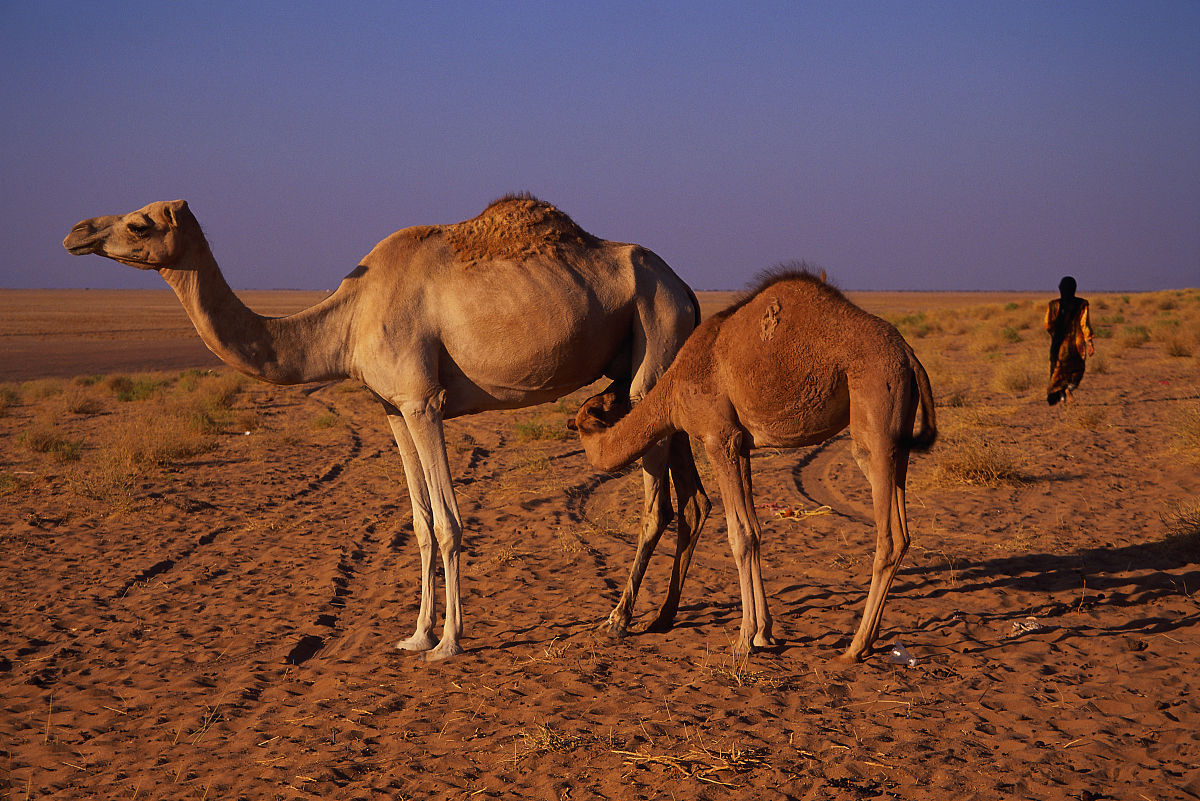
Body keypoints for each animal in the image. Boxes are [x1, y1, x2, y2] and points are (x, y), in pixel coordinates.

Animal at [60, 194, 705, 657]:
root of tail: (689, 291)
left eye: (139, 224)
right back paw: (663, 617)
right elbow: (418, 523)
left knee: (658, 503)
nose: (76, 232)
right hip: (662, 367)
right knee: (692, 499)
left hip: (652, 343)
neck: (347, 318)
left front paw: (448, 643)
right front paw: (416, 635)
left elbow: (446, 522)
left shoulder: (422, 400)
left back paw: (617, 619)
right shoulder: (392, 408)